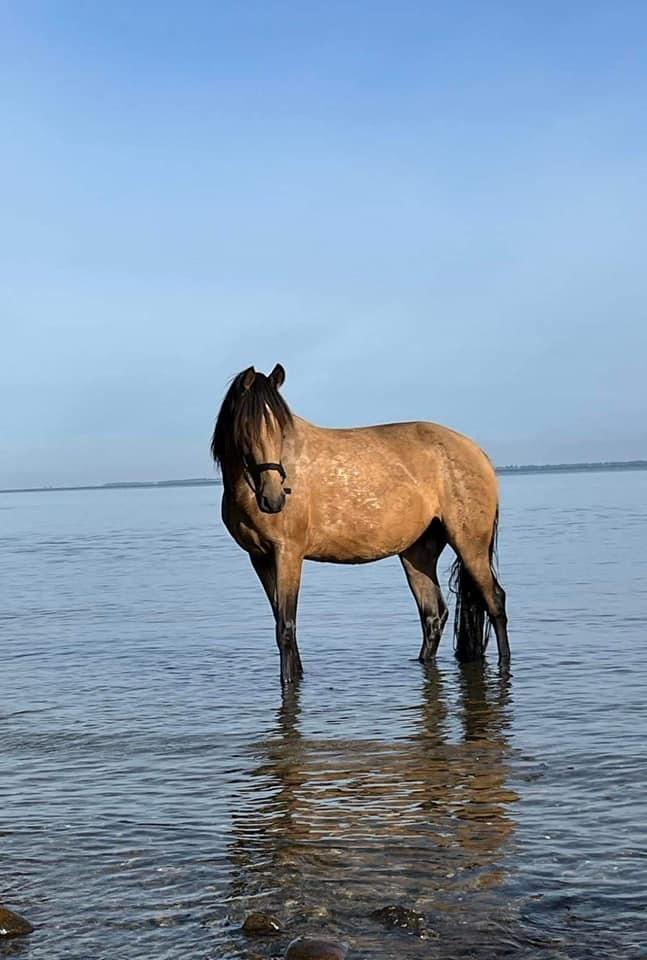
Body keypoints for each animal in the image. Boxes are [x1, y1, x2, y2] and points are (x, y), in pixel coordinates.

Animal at [210, 364, 508, 688]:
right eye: (247, 428)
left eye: (282, 430)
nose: (274, 498)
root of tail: (477, 452)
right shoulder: (260, 557)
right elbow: (281, 621)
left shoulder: (288, 554)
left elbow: (286, 626)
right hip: (418, 552)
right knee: (433, 615)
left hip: (470, 545)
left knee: (495, 601)